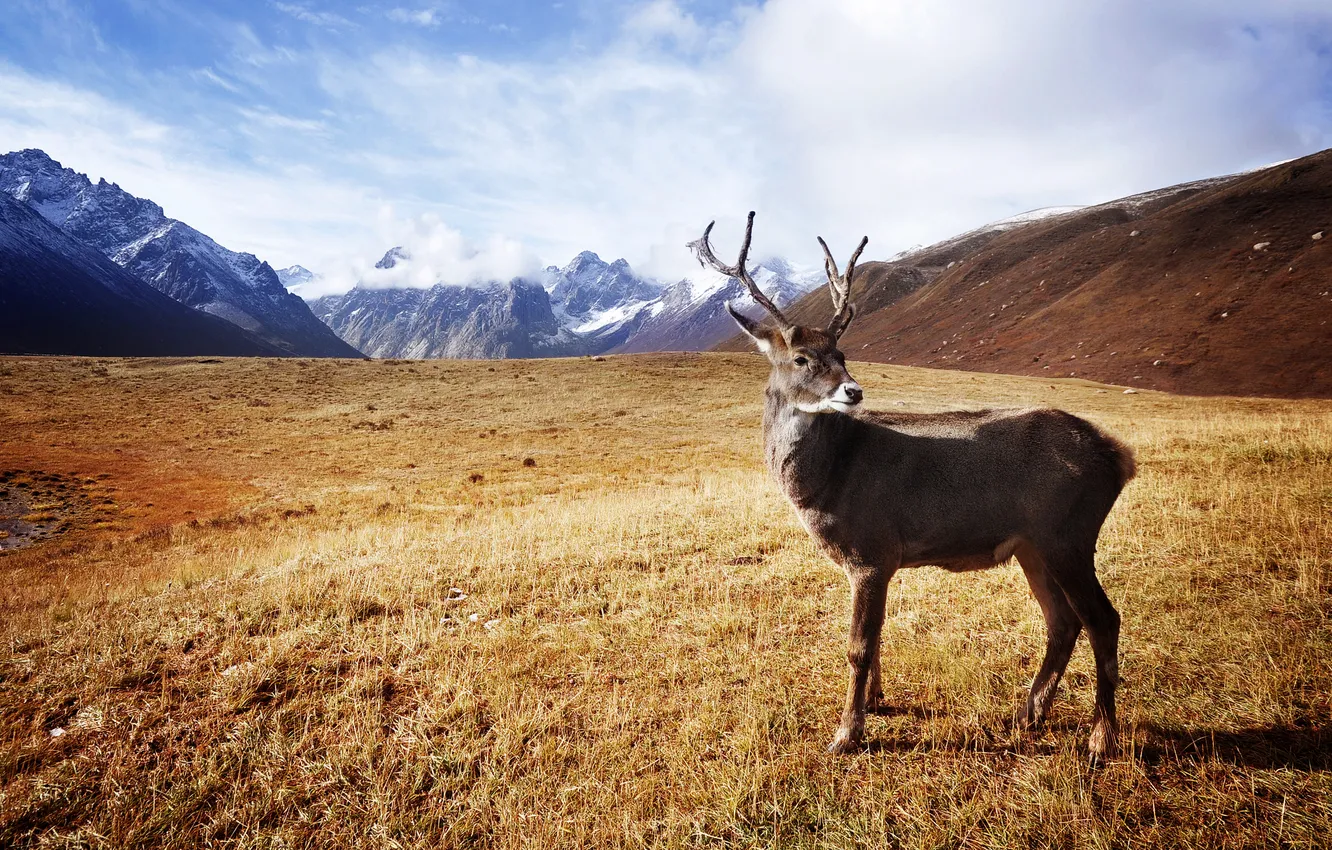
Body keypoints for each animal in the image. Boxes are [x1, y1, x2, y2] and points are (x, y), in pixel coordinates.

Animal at [691, 211, 1136, 763]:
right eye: (801, 358)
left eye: (842, 351)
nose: (853, 390)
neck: (829, 480)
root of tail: (1119, 456)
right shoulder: (875, 561)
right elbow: (877, 637)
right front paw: (875, 702)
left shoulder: (871, 549)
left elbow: (858, 646)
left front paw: (847, 734)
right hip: (1034, 545)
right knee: (1063, 621)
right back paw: (1028, 713)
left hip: (1069, 533)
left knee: (1103, 619)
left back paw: (1101, 738)